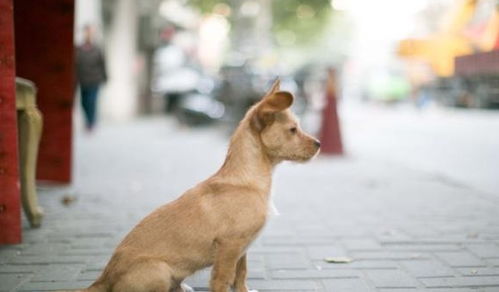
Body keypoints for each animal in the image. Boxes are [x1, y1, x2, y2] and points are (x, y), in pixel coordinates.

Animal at [82, 80, 320, 292]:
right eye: (293, 130)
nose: (319, 144)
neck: (247, 180)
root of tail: (103, 279)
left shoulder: (242, 249)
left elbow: (241, 275)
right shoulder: (229, 247)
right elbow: (223, 281)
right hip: (159, 270)